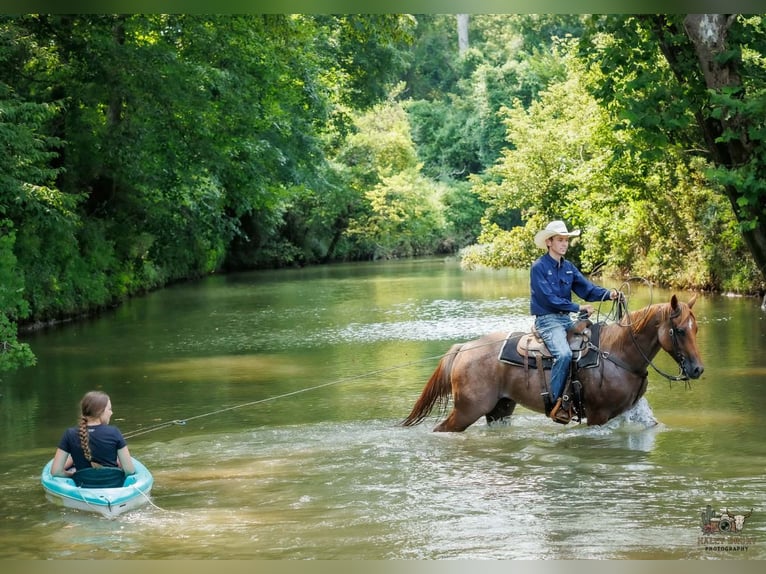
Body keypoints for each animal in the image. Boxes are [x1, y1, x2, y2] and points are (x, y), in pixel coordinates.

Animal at [402, 294, 703, 432]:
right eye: (679, 330)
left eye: (696, 328)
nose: (697, 369)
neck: (618, 354)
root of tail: (464, 348)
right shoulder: (598, 416)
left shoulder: (632, 411)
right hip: (468, 410)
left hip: (500, 409)